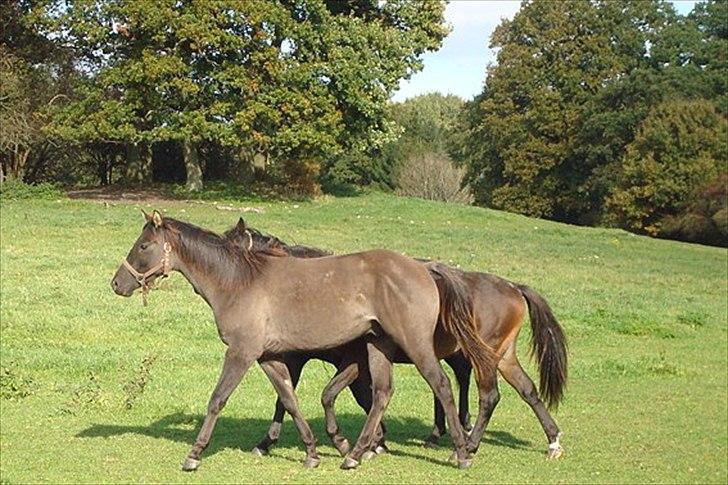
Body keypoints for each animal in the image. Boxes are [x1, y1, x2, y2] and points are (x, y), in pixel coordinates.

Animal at [109, 212, 494, 468]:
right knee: (383, 393)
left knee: (443, 385)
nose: (116, 284)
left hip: (416, 345)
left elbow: (218, 399)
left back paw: (461, 451)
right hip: (378, 347)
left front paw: (194, 454)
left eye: (144, 245)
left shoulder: (242, 353)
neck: (240, 282)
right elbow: (289, 401)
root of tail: (425, 269)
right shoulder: (271, 358)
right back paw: (355, 454)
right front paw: (311, 452)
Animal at [228, 219, 568, 458]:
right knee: (527, 390)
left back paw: (467, 442)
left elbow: (290, 399)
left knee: (487, 395)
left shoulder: (322, 359)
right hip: (501, 356)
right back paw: (550, 439)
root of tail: (512, 287)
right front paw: (375, 440)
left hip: (481, 356)